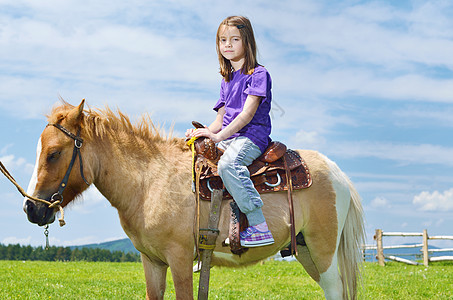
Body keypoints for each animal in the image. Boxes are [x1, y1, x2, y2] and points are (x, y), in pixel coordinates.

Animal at [23, 101, 366, 300]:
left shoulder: (180, 258)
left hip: (323, 251)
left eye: (53, 153)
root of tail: (336, 172)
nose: (31, 208)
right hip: (306, 251)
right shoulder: (152, 261)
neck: (149, 181)